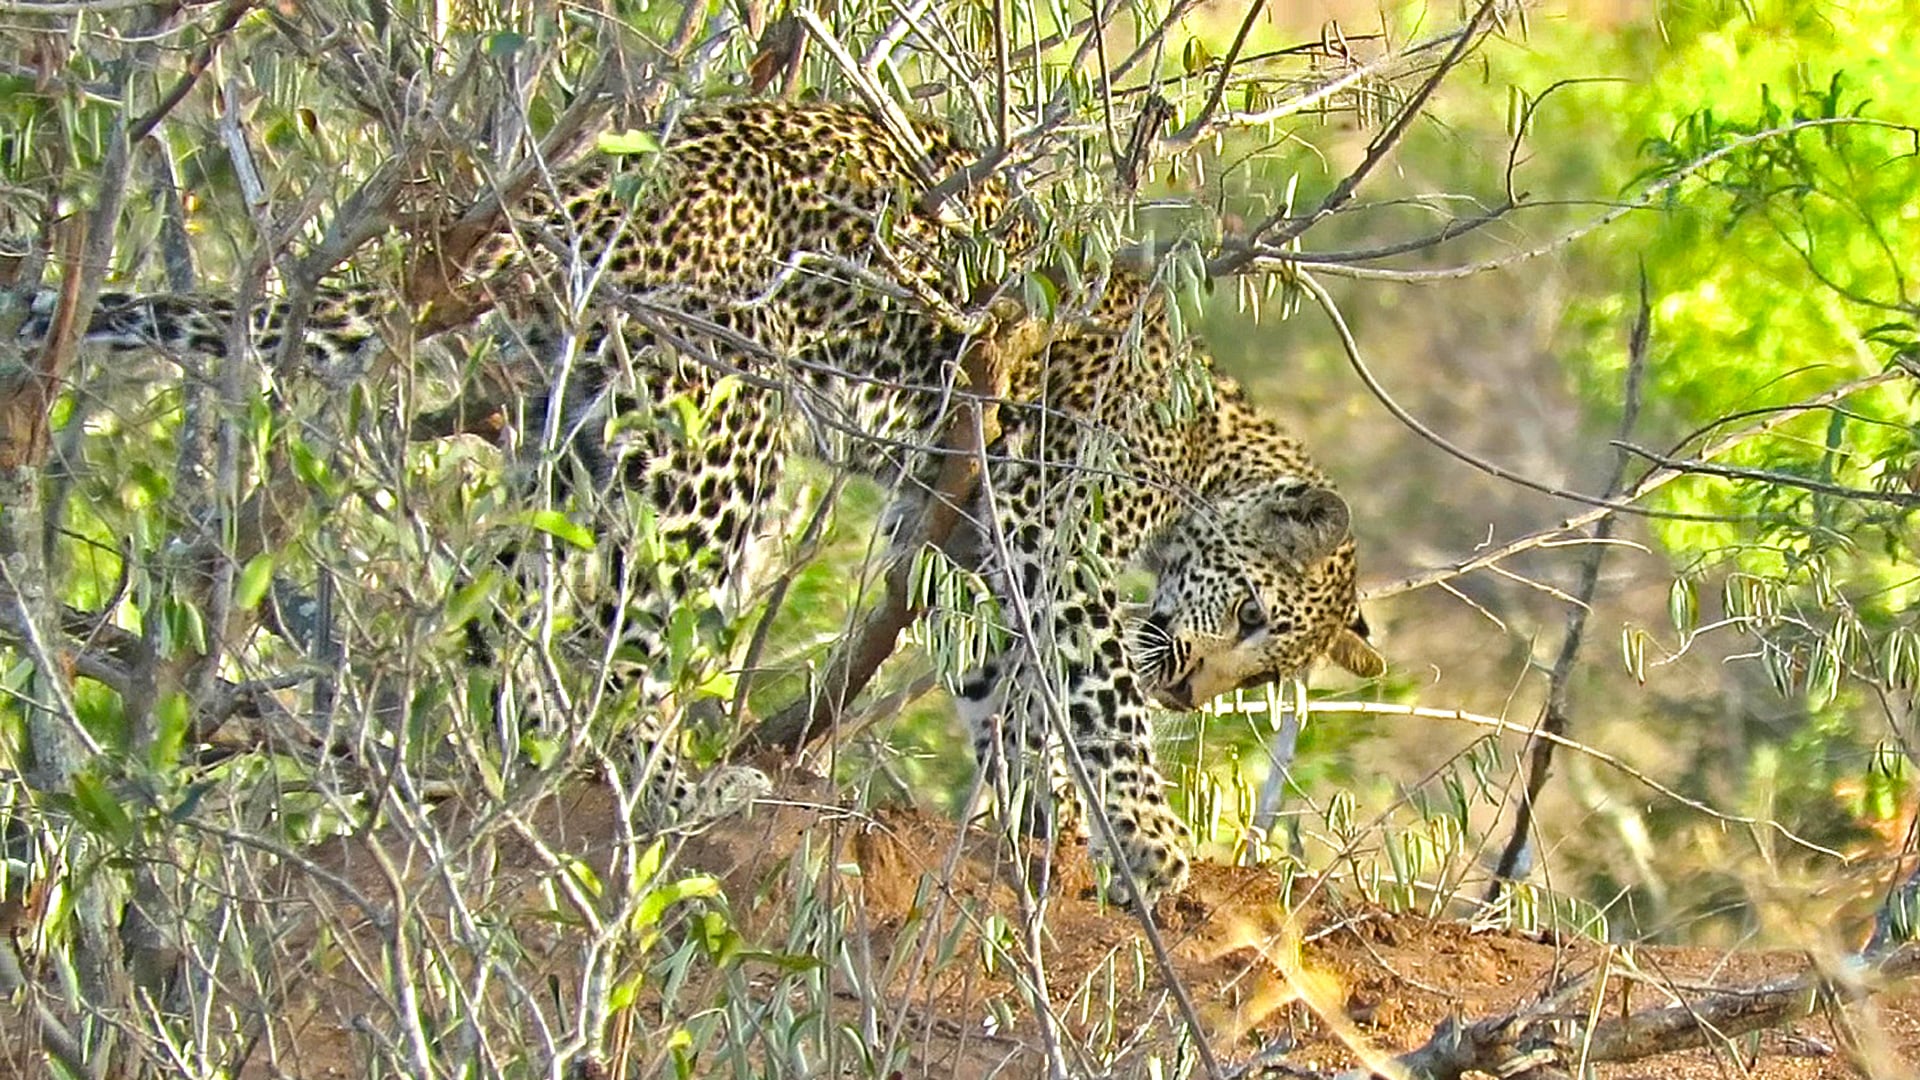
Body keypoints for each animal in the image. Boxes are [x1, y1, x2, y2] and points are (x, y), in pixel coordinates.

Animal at [10, 99, 1383, 901]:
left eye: (1267, 666)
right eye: (1251, 620)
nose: (1194, 687)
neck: (1204, 446)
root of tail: (584, 186)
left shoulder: (954, 537)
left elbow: (1002, 689)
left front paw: (1042, 824)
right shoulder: (1051, 535)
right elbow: (1088, 689)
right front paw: (1148, 839)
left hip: (569, 432)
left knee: (507, 614)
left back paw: (511, 764)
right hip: (718, 437)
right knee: (623, 640)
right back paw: (669, 791)